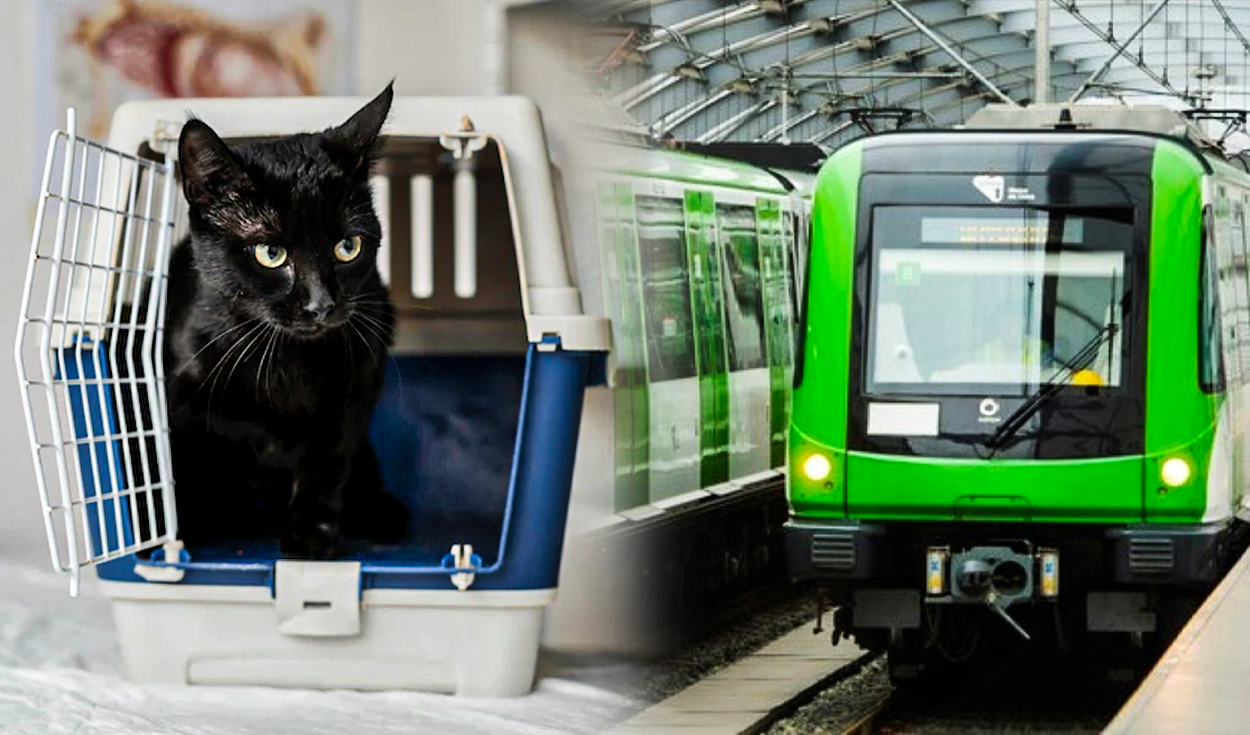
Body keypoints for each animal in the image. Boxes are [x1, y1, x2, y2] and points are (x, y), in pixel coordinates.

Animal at [161, 85, 405, 557]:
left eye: (348, 247)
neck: (285, 359)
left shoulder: (358, 386)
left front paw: (312, 536)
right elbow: (183, 464)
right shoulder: (179, 394)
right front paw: (178, 535)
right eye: (270, 254)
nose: (321, 304)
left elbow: (327, 462)